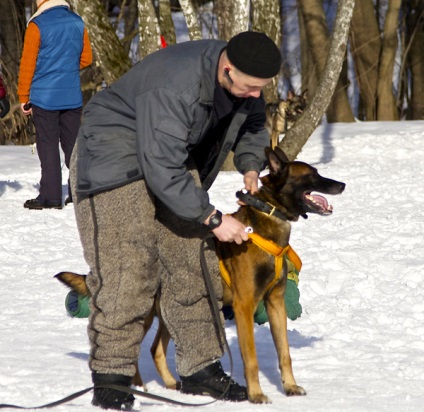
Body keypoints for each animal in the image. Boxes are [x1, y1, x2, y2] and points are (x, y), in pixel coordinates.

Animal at [55, 146, 344, 404]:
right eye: (312, 175)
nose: (341, 184)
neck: (267, 220)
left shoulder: (275, 303)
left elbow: (285, 354)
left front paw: (290, 387)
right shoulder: (244, 307)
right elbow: (251, 359)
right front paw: (255, 395)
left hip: (173, 307)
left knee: (156, 348)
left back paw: (173, 385)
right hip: (145, 311)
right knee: (134, 346)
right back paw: (137, 387)